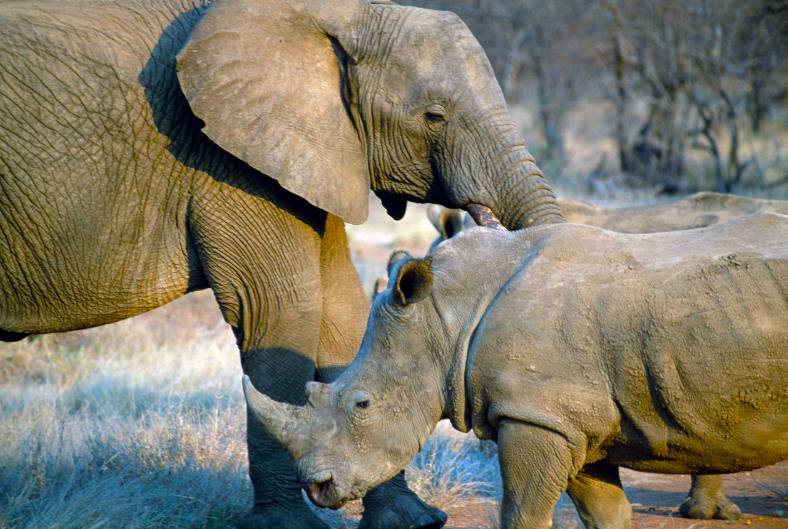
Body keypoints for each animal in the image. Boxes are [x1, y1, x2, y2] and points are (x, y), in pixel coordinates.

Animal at [1, 0, 568, 524]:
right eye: (434, 115)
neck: (340, 15)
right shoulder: (224, 159)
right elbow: (281, 310)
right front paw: (288, 525)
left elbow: (341, 306)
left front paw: (409, 520)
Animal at [245, 213, 788, 528]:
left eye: (362, 404)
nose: (316, 487)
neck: (447, 316)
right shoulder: (572, 418)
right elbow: (605, 512)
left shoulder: (536, 414)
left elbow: (523, 512)